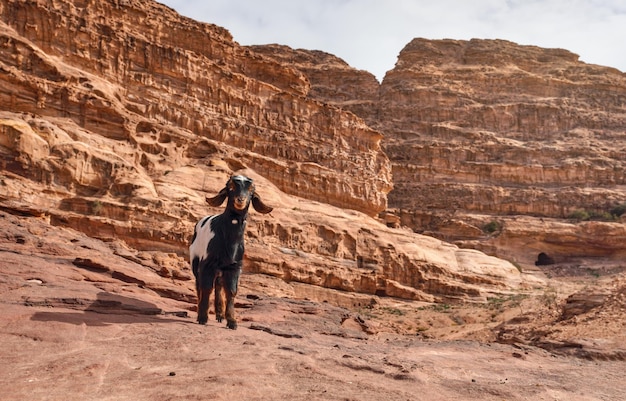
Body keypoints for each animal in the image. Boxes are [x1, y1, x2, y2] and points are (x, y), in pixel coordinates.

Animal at [188, 174, 270, 328]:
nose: (240, 200)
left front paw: (232, 321)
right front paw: (202, 317)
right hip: (195, 261)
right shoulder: (207, 263)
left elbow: (231, 291)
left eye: (251, 191)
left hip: (221, 269)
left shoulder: (234, 266)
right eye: (230, 188)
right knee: (199, 285)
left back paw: (220, 315)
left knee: (219, 285)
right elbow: (206, 288)